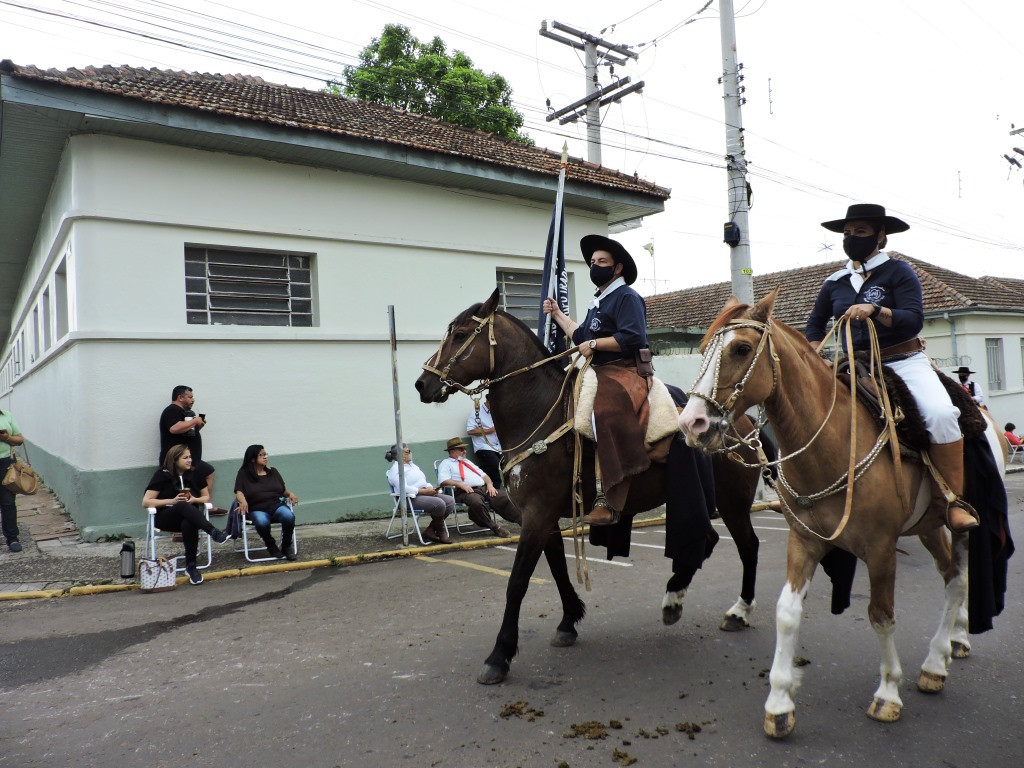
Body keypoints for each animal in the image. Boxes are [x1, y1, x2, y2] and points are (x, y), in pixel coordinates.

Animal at [413, 290, 761, 688]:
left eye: (460, 335)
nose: (422, 384)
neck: (539, 410)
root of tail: (744, 421)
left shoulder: (537, 514)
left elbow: (517, 582)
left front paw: (499, 656)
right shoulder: (541, 515)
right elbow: (557, 569)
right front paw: (569, 621)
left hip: (732, 503)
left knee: (746, 546)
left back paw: (736, 611)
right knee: (708, 540)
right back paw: (675, 595)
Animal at [675, 288, 1003, 741]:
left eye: (741, 349)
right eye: (704, 348)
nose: (692, 423)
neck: (830, 443)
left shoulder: (881, 549)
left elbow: (881, 616)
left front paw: (888, 692)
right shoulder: (805, 541)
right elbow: (787, 613)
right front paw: (780, 703)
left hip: (961, 525)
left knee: (957, 582)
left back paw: (936, 662)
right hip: (928, 528)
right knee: (951, 576)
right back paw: (952, 643)